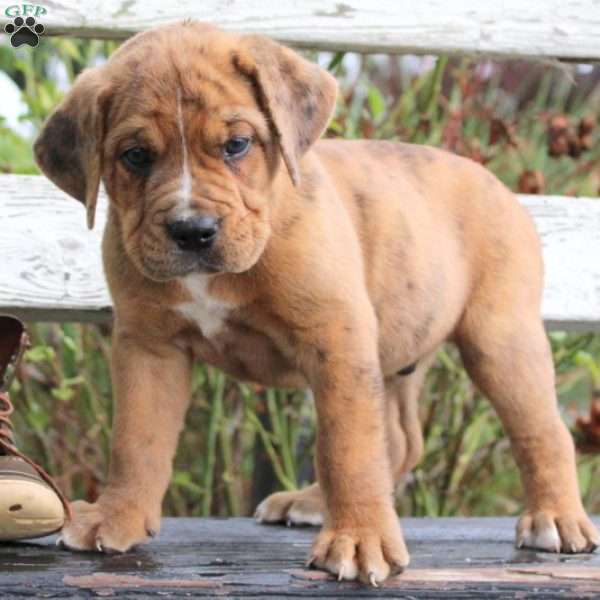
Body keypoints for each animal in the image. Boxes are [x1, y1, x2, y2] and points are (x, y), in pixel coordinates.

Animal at [35, 21, 596, 584]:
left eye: (237, 145)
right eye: (135, 156)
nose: (192, 230)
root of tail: (494, 181)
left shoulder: (335, 338)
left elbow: (347, 445)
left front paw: (359, 539)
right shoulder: (150, 346)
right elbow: (136, 438)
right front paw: (117, 515)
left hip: (500, 341)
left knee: (542, 431)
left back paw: (556, 518)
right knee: (399, 439)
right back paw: (310, 501)